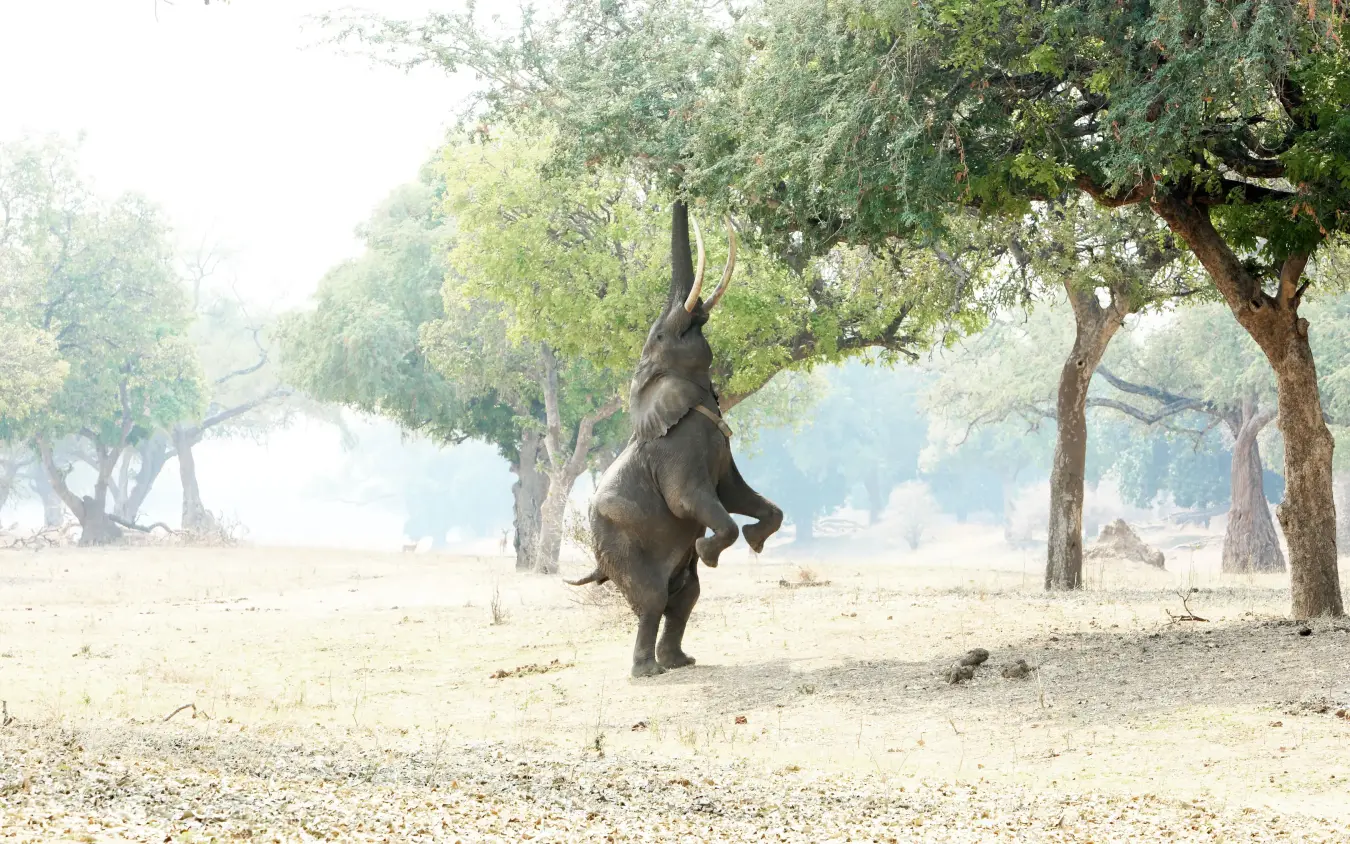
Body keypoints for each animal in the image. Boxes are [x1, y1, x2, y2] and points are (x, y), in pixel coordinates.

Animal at [566, 200, 783, 678]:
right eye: (663, 335)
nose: (682, 194)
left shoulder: (721, 446)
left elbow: (738, 494)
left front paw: (756, 540)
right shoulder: (674, 453)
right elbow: (689, 501)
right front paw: (709, 549)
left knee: (684, 597)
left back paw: (680, 662)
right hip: (618, 544)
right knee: (653, 599)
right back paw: (648, 672)